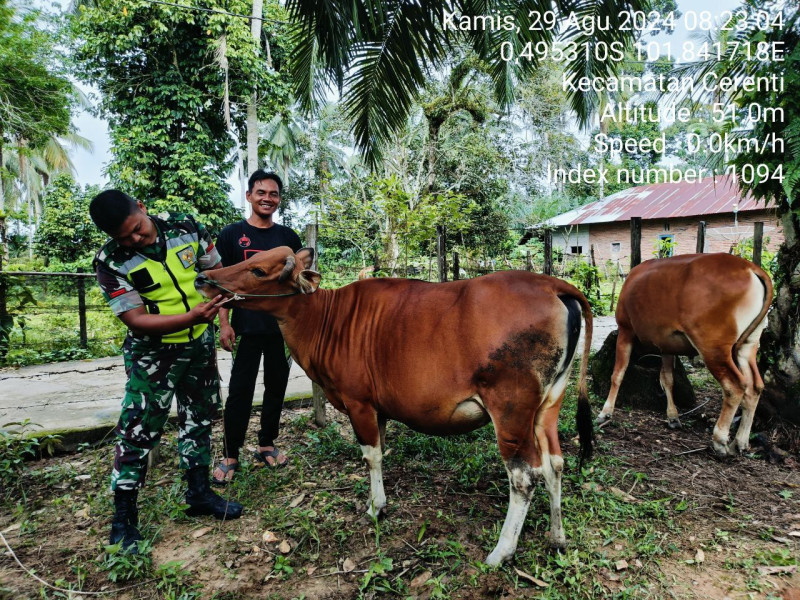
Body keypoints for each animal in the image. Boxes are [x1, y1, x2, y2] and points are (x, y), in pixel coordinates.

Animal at [196, 246, 592, 564]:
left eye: (259, 270)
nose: (204, 277)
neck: (326, 317)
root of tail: (554, 286)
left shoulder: (358, 403)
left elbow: (371, 456)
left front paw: (376, 507)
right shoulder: (379, 409)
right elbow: (381, 452)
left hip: (510, 411)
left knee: (524, 477)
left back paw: (502, 551)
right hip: (547, 406)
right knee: (554, 464)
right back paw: (557, 537)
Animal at [596, 253, 772, 454]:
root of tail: (750, 268)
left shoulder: (625, 331)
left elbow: (618, 374)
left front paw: (605, 412)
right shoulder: (666, 346)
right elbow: (667, 379)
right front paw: (672, 416)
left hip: (713, 348)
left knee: (734, 386)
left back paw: (719, 440)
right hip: (748, 345)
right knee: (754, 386)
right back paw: (740, 441)